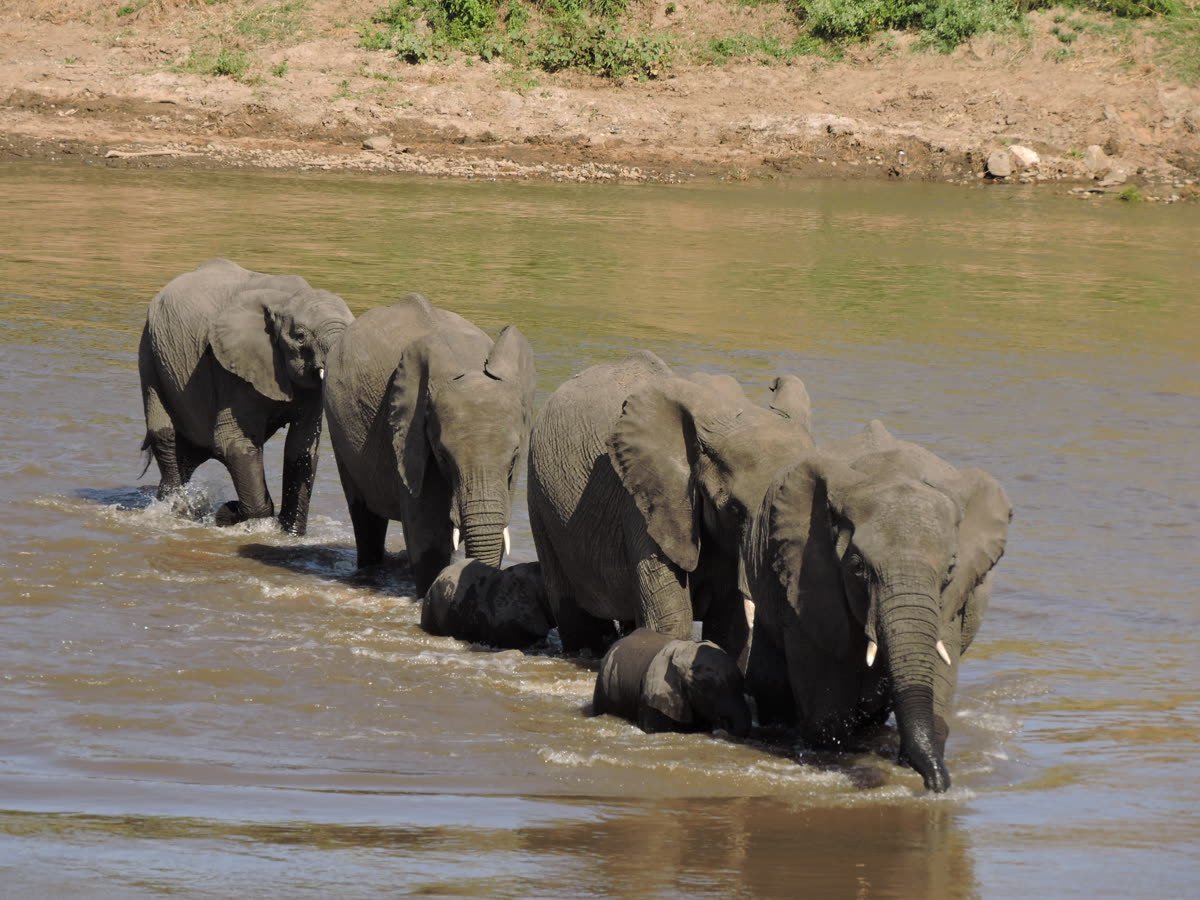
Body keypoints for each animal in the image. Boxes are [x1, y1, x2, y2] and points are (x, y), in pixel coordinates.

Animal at [138, 258, 353, 534]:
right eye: (300, 336)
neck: (287, 299)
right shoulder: (230, 369)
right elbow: (234, 444)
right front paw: (228, 514)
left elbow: (301, 448)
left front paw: (291, 534)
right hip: (151, 355)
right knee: (166, 437)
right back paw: (179, 512)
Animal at [323, 293, 534, 596]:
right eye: (443, 456)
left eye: (515, 457)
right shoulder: (410, 435)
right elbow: (428, 534)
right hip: (338, 427)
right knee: (364, 516)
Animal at [527, 350, 814, 657]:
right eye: (734, 509)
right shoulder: (643, 502)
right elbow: (669, 621)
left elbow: (730, 629)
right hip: (541, 501)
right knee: (577, 620)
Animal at [742, 419, 1012, 792]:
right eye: (857, 567)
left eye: (950, 569)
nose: (938, 784)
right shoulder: (808, 571)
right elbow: (825, 697)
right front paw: (832, 757)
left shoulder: (956, 597)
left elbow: (940, 663)